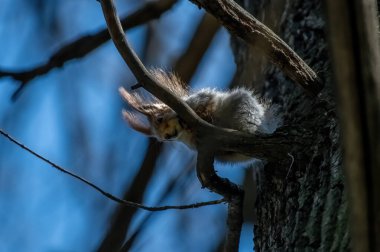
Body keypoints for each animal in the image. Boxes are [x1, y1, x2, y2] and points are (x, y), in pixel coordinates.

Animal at [119, 68, 282, 161]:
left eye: (159, 119)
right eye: (161, 139)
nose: (167, 137)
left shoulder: (199, 99)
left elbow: (205, 102)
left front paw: (203, 115)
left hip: (243, 106)